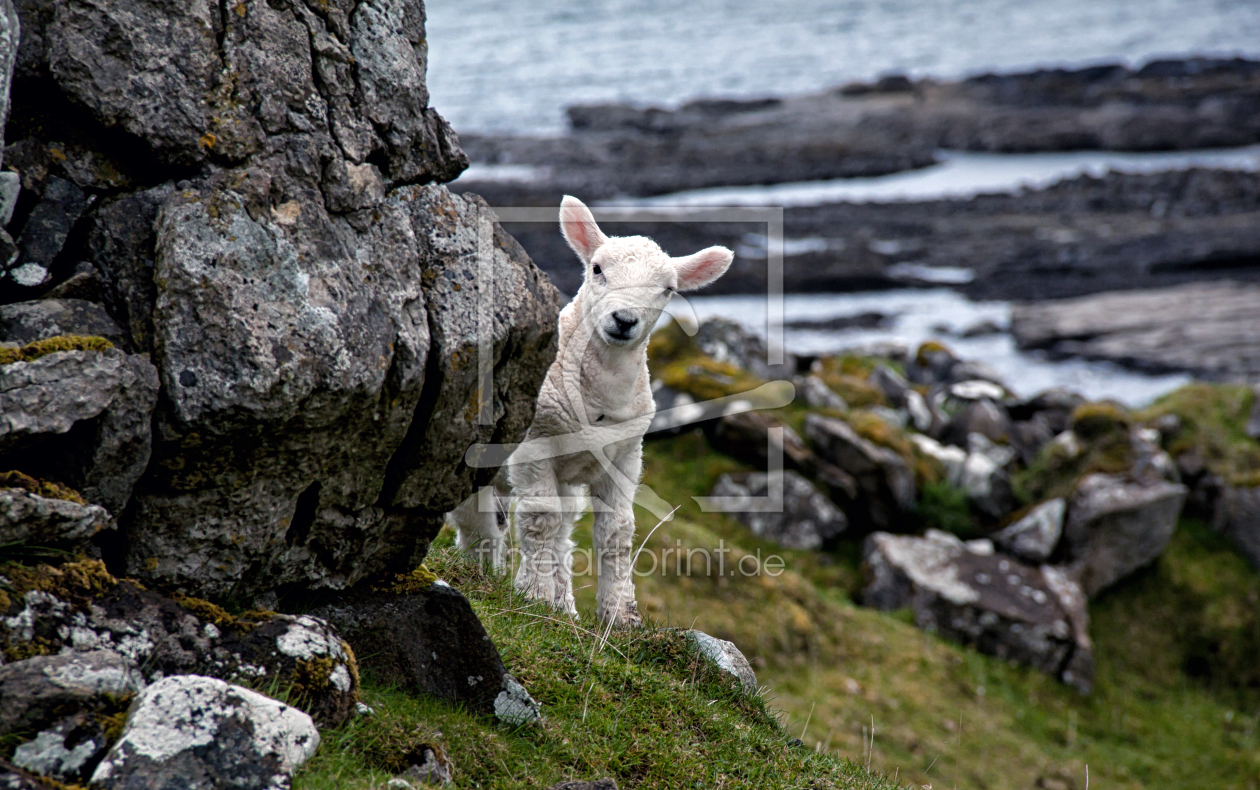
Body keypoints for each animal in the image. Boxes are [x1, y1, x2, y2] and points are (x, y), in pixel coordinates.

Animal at [451, 195, 730, 627]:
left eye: (668, 290)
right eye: (597, 269)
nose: (624, 320)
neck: (599, 399)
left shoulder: (625, 456)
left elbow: (617, 532)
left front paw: (621, 617)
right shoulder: (535, 445)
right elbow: (539, 519)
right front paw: (532, 595)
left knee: (561, 534)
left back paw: (563, 605)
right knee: (479, 526)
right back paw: (487, 578)